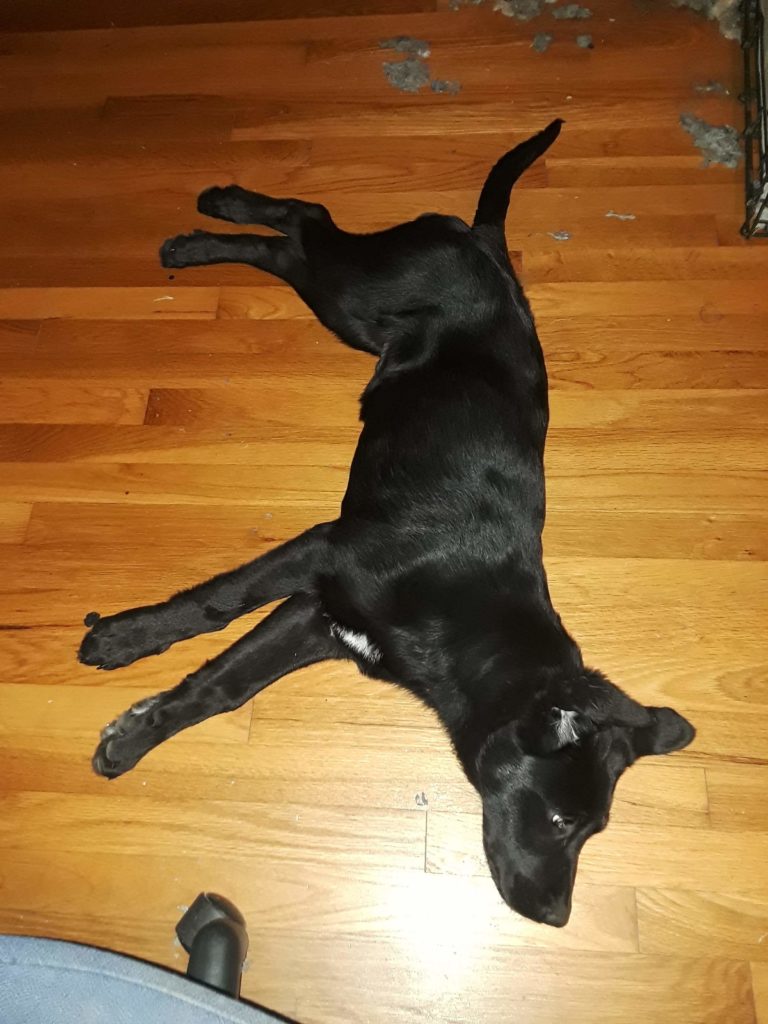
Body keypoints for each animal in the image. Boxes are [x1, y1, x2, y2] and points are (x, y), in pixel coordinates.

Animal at [79, 121, 696, 929]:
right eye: (563, 820)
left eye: (596, 829)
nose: (557, 916)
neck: (467, 624)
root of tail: (488, 245)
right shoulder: (324, 555)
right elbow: (213, 604)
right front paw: (123, 639)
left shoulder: (319, 618)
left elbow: (223, 687)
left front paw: (136, 736)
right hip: (355, 294)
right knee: (306, 224)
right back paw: (210, 219)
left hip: (356, 313)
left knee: (294, 244)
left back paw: (203, 233)